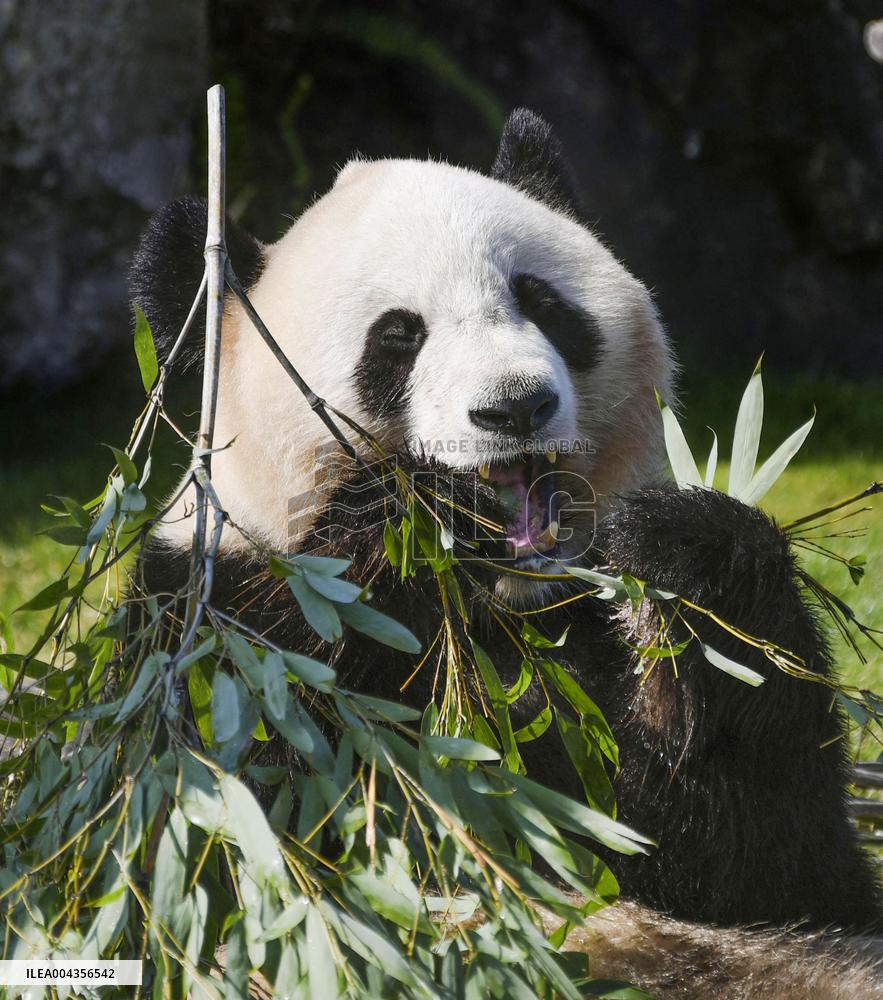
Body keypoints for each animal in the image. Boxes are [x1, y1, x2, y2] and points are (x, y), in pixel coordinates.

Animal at [131, 109, 882, 996]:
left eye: (541, 301)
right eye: (396, 339)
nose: (514, 407)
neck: (501, 602)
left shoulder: (589, 636)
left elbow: (764, 861)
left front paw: (681, 557)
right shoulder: (223, 626)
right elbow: (237, 839)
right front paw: (413, 510)